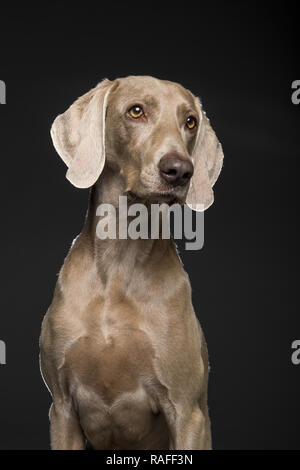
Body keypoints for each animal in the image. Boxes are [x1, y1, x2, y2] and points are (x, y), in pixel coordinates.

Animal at [39, 75, 223, 450]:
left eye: (190, 121)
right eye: (136, 111)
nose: (180, 170)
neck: (120, 260)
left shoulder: (187, 412)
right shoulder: (61, 409)